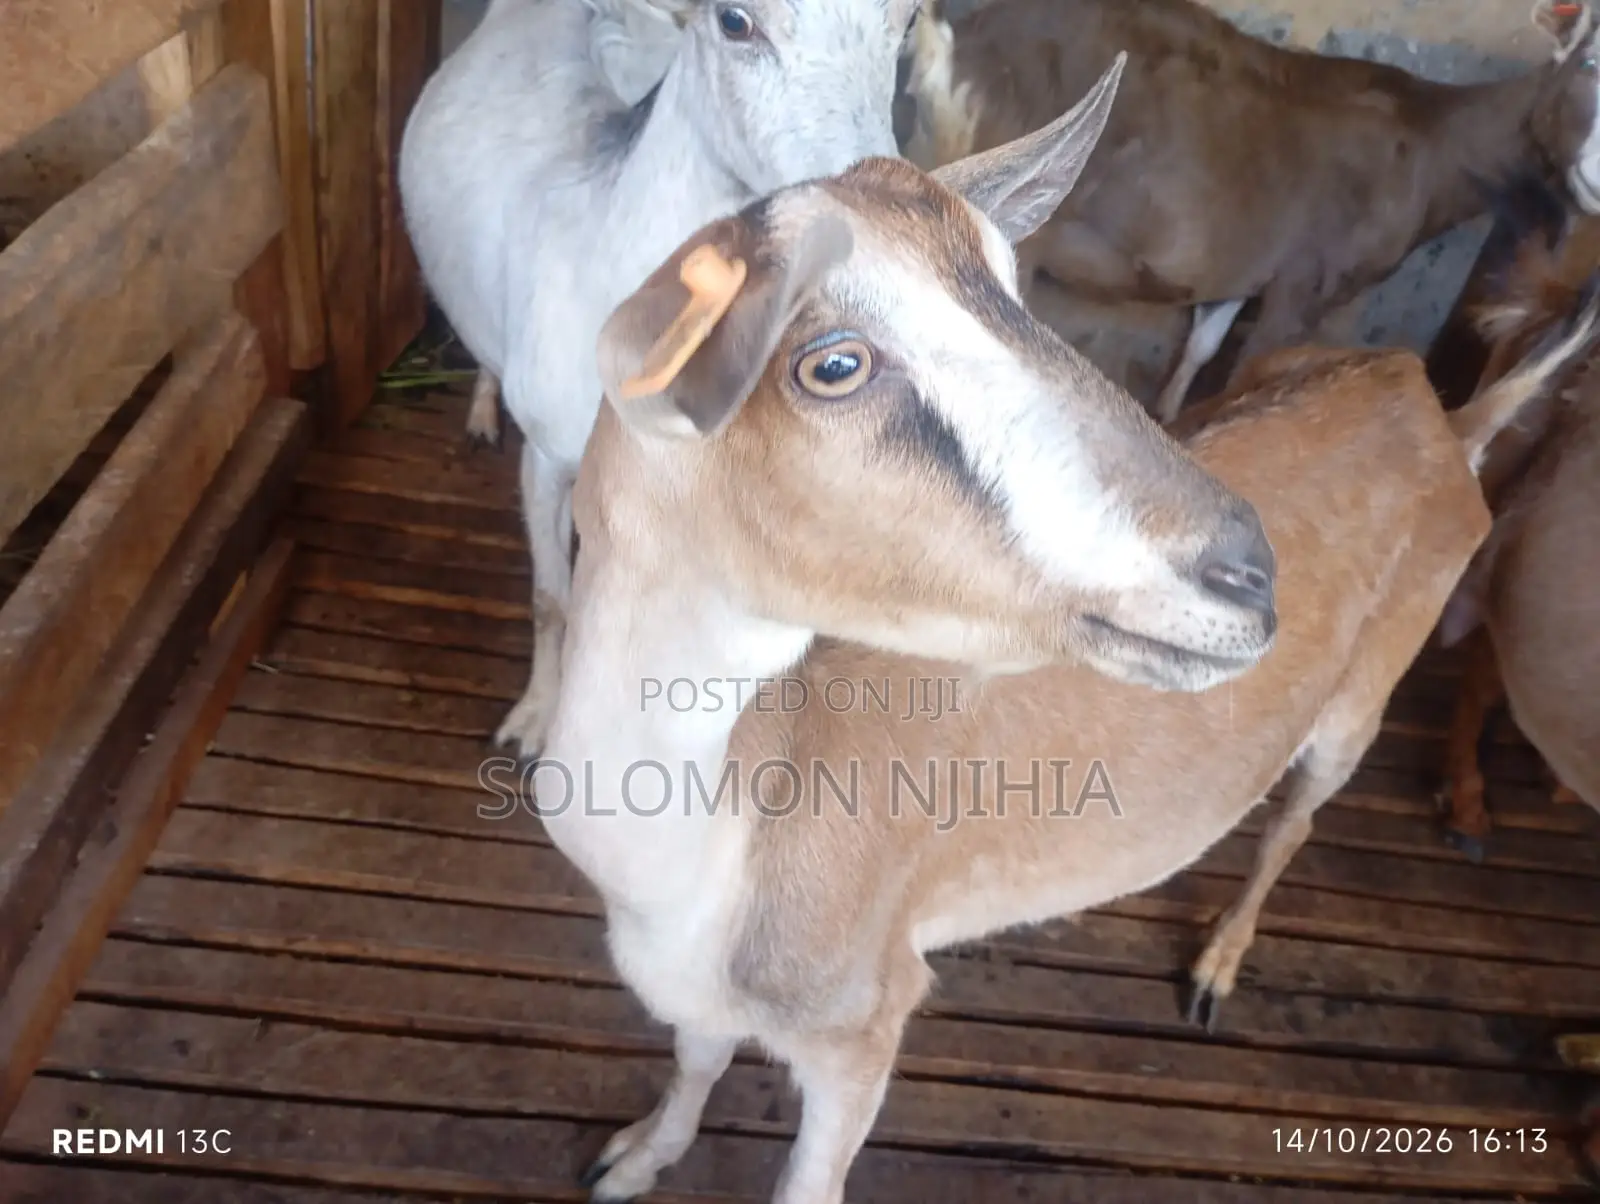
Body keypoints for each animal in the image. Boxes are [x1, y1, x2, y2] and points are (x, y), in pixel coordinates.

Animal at [530, 64, 1597, 1204]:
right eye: (831, 364)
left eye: (1013, 285)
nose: (1246, 576)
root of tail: (1444, 418)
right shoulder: (694, 988)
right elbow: (693, 1061)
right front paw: (634, 1158)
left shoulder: (863, 1024)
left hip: (1361, 704)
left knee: (1297, 818)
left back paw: (1213, 972)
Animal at [900, 0, 1600, 424]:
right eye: (1589, 59)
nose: (1593, 176)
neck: (1429, 140)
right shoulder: (1303, 288)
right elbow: (1246, 374)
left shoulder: (1241, 275)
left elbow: (1202, 348)